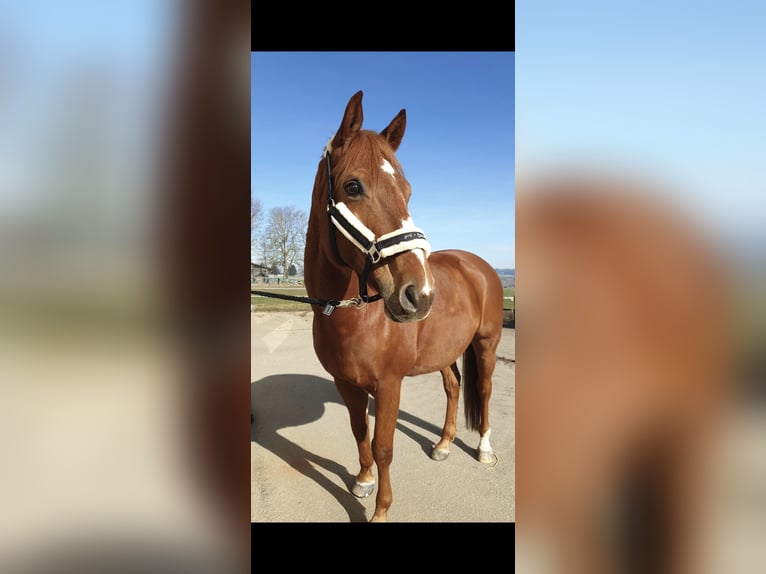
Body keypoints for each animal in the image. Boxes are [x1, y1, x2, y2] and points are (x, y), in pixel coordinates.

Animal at [303, 91, 505, 522]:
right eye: (353, 186)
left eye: (408, 191)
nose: (420, 294)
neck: (354, 315)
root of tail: (479, 265)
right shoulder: (345, 383)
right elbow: (359, 431)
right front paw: (363, 480)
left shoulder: (389, 385)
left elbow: (384, 447)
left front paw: (380, 511)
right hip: (445, 351)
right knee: (453, 386)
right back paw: (443, 445)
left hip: (486, 344)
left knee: (483, 389)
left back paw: (483, 449)